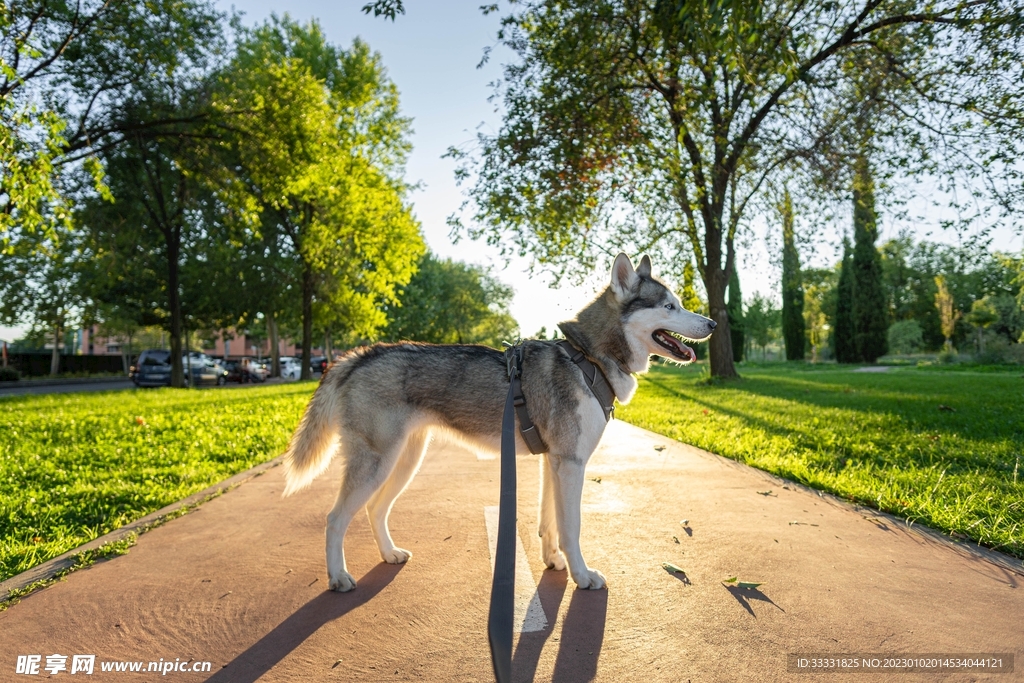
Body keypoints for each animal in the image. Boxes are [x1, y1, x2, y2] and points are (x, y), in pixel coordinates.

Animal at [280, 253, 712, 589]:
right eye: (669, 306)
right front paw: (582, 576)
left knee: (375, 509)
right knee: (335, 519)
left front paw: (554, 562)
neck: (587, 358)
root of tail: (359, 355)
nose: (711, 324)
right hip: (377, 463)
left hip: (403, 461)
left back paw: (388, 554)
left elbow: (549, 522)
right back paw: (338, 577)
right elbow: (571, 527)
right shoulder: (572, 464)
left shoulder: (553, 462)